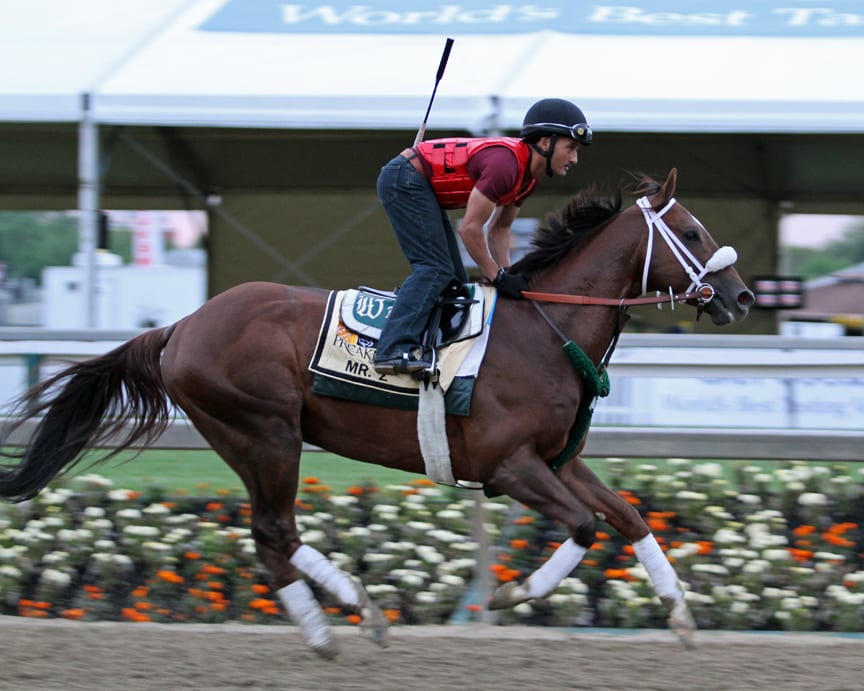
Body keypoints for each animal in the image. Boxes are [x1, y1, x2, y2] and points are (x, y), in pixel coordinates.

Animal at [0, 169, 752, 660]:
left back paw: (351, 616)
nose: (742, 295)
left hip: (254, 437)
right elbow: (584, 525)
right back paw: (341, 622)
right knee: (273, 530)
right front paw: (510, 596)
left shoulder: (555, 458)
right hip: (264, 432)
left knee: (272, 537)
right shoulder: (508, 465)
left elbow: (626, 515)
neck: (543, 331)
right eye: (691, 231)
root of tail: (180, 327)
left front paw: (680, 613)